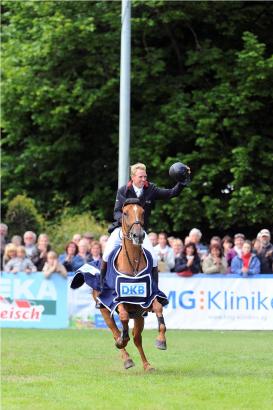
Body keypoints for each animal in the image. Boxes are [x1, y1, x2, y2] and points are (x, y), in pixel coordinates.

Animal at [96, 199, 167, 372]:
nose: (138, 235)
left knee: (137, 338)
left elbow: (158, 308)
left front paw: (161, 341)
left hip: (139, 315)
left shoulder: (148, 298)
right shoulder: (115, 300)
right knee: (115, 332)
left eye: (142, 212)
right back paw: (126, 358)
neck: (133, 263)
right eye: (125, 213)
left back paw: (147, 365)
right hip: (105, 311)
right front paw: (122, 340)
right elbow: (122, 317)